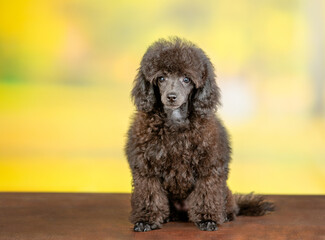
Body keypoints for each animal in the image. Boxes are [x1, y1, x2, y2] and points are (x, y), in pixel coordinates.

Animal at [124, 37, 274, 231]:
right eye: (161, 78)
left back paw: (225, 215)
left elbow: (206, 192)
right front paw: (147, 221)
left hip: (225, 195)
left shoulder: (209, 165)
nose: (171, 96)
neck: (175, 122)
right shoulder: (146, 167)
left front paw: (207, 219)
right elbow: (149, 195)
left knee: (229, 207)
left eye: (186, 79)